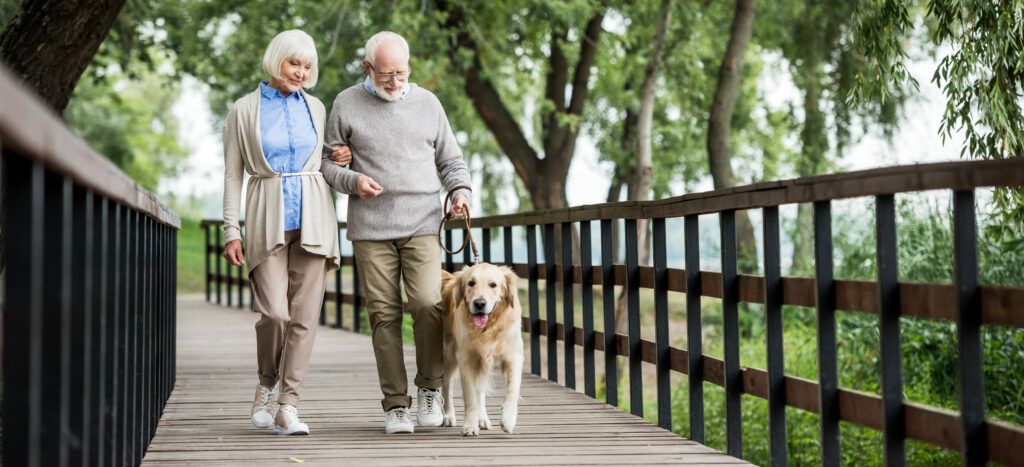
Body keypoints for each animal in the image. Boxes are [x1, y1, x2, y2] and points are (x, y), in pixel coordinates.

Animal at [438, 264, 524, 436]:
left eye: (493, 285)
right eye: (471, 283)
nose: (479, 303)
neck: (488, 328)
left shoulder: (513, 356)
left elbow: (512, 389)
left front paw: (508, 419)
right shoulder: (466, 359)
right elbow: (470, 397)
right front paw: (470, 426)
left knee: (480, 390)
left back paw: (483, 418)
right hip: (449, 354)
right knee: (447, 384)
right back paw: (448, 415)